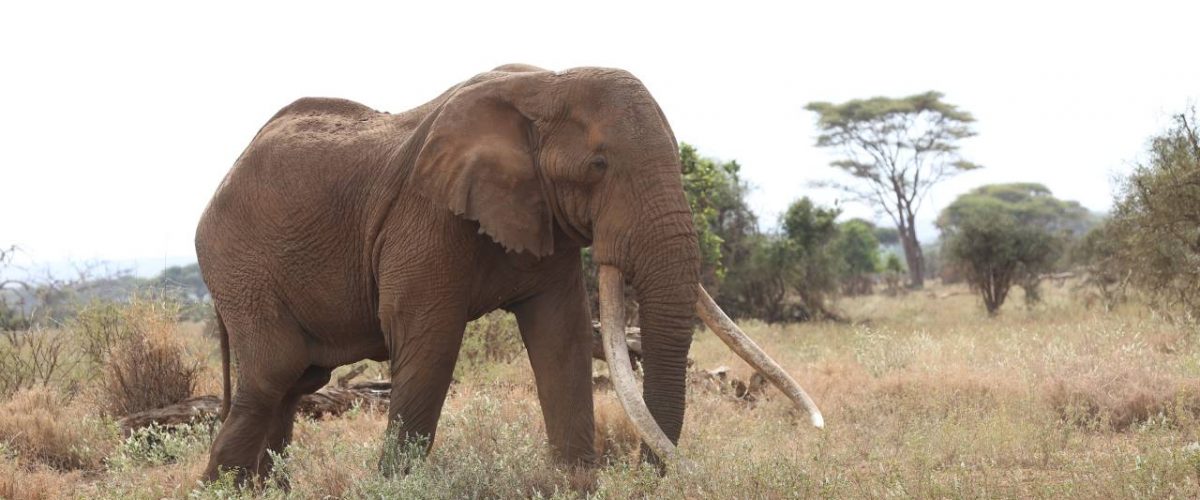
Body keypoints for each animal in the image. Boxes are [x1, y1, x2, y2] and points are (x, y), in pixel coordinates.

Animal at [196, 64, 820, 482]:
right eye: (599, 166)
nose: (653, 476)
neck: (547, 85)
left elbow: (563, 339)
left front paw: (574, 486)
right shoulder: (425, 215)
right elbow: (429, 344)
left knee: (296, 382)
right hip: (240, 265)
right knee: (273, 374)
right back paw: (224, 488)